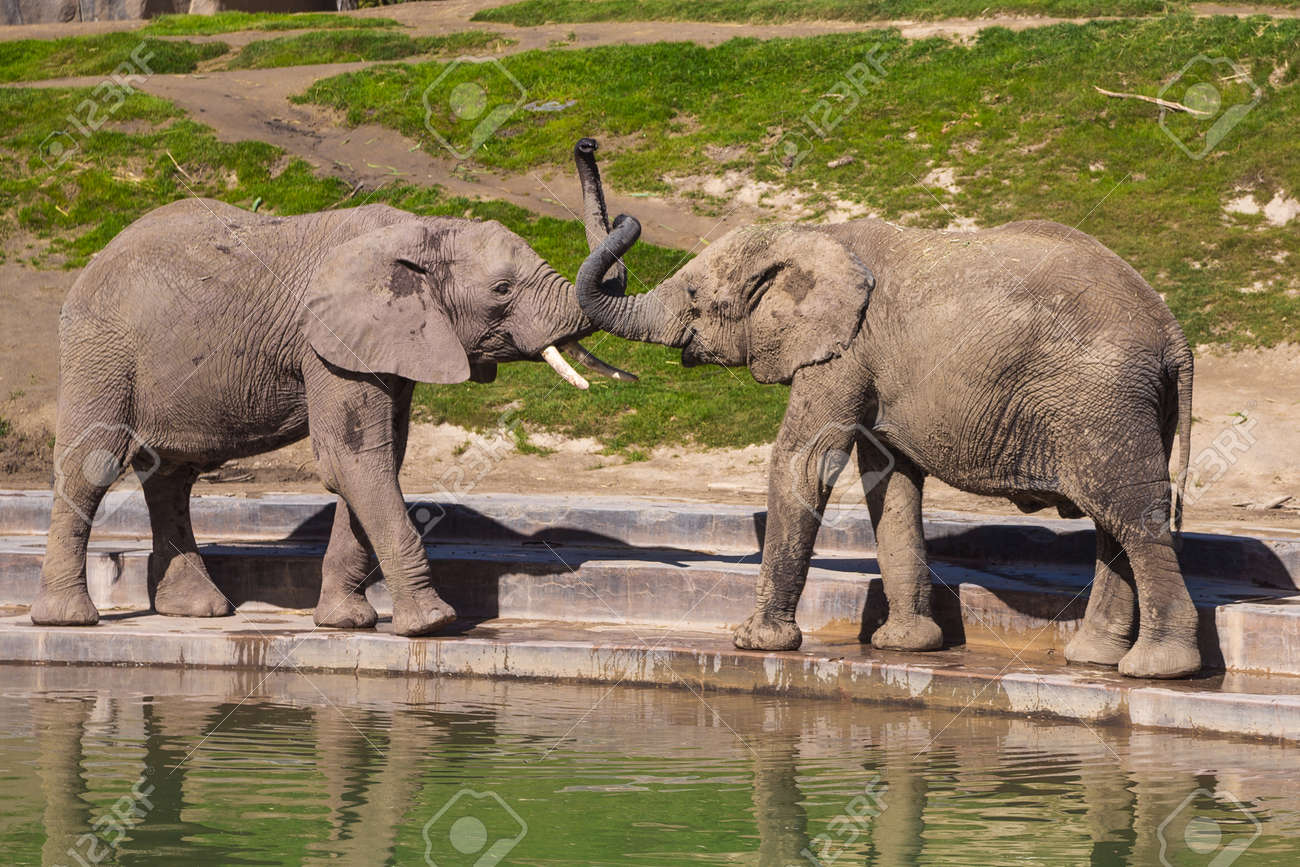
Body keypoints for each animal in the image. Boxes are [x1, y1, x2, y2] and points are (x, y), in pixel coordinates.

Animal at [36, 145, 633, 635]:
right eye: (502, 290)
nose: (587, 145)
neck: (417, 230)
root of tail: (94, 258)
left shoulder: (387, 344)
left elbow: (376, 458)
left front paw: (347, 623)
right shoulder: (327, 342)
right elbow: (353, 458)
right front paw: (434, 625)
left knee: (172, 475)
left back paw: (197, 610)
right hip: (100, 349)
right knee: (92, 465)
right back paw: (68, 620)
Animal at [573, 153, 1196, 678]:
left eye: (697, 297)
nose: (587, 146)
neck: (813, 235)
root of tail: (1174, 334)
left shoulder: (844, 351)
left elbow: (806, 461)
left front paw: (755, 642)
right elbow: (889, 478)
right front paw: (906, 646)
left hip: (1103, 395)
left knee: (1131, 514)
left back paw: (1157, 669)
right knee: (1112, 522)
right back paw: (1093, 660)